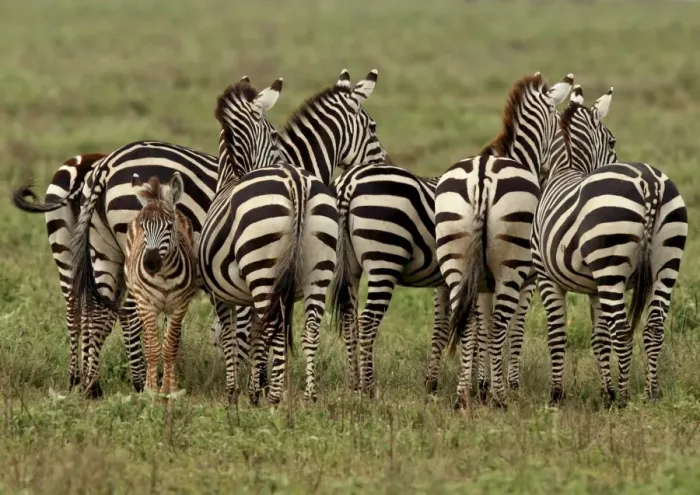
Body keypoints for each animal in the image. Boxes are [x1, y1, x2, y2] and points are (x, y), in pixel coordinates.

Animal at [125, 172, 199, 394]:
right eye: (143, 227)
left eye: (170, 226)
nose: (150, 263)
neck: (164, 275)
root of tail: (157, 195)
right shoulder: (146, 304)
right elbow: (152, 348)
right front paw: (150, 390)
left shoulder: (179, 306)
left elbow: (169, 347)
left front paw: (169, 389)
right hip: (137, 296)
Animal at [202, 70, 389, 405]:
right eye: (373, 127)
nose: (384, 165)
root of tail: (295, 183)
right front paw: (263, 385)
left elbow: (252, 336)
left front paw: (258, 387)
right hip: (313, 273)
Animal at [434, 72, 574, 409]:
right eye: (557, 124)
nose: (560, 164)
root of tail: (482, 175)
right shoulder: (528, 282)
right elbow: (513, 329)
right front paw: (504, 385)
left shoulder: (482, 282)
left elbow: (480, 327)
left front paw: (480, 385)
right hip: (511, 267)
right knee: (500, 324)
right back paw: (500, 399)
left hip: (455, 258)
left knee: (468, 322)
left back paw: (462, 397)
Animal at [531, 85, 688, 407]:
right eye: (613, 141)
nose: (539, 173)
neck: (566, 169)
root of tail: (649, 182)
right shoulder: (594, 288)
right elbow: (598, 339)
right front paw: (606, 393)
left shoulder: (546, 276)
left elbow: (557, 334)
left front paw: (556, 395)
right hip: (667, 261)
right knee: (653, 327)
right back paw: (652, 393)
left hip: (611, 267)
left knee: (622, 330)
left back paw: (626, 397)